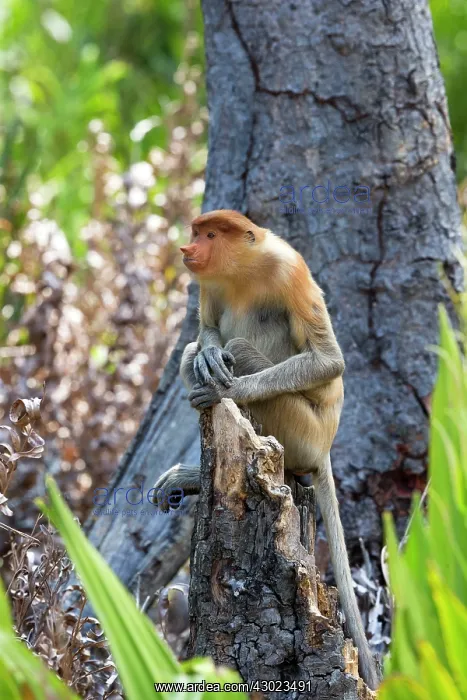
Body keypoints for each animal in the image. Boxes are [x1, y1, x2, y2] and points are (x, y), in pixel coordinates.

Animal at [153, 209, 379, 690]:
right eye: (196, 233)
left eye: (210, 234)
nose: (187, 249)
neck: (243, 269)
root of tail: (324, 447)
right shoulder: (209, 282)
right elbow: (206, 331)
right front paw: (209, 357)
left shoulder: (289, 270)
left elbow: (328, 361)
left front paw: (229, 387)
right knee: (189, 350)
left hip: (301, 428)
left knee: (243, 352)